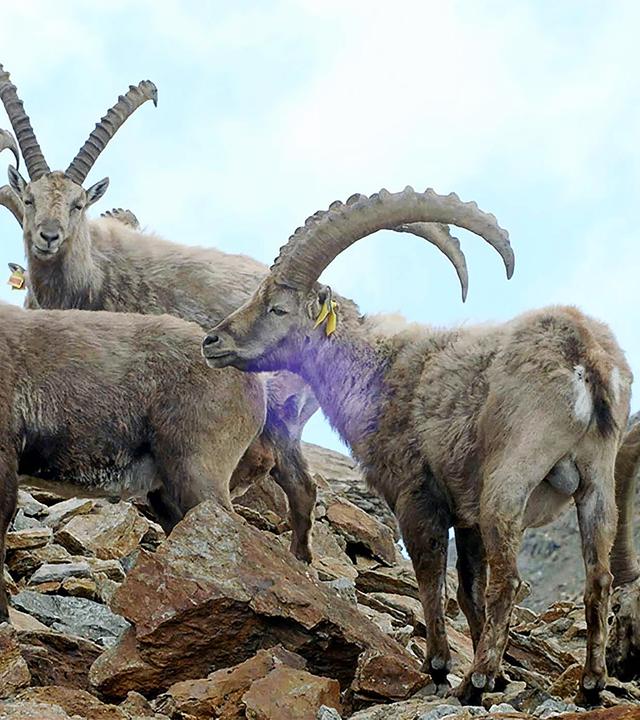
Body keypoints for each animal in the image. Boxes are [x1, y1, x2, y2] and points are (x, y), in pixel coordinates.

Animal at [0, 63, 476, 562]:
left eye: (78, 204)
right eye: (28, 199)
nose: (49, 236)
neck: (92, 275)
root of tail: (345, 312)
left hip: (274, 417)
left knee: (289, 479)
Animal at [203, 187, 632, 704]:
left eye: (277, 309)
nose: (212, 341)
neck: (375, 373)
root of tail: (584, 351)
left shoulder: (416, 495)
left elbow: (431, 575)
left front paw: (440, 667)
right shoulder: (466, 515)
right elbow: (468, 588)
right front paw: (501, 675)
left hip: (510, 476)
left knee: (510, 579)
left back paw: (474, 681)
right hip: (597, 478)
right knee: (598, 577)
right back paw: (590, 683)